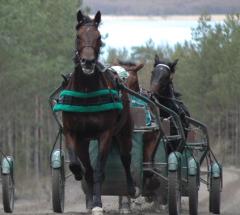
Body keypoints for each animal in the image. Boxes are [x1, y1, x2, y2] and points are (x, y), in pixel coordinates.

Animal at [61, 10, 137, 214]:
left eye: (99, 37)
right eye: (78, 36)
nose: (87, 62)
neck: (87, 92)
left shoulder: (105, 134)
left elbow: (99, 171)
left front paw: (97, 204)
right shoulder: (73, 133)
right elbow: (78, 165)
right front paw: (87, 196)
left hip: (124, 132)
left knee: (126, 158)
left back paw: (130, 189)